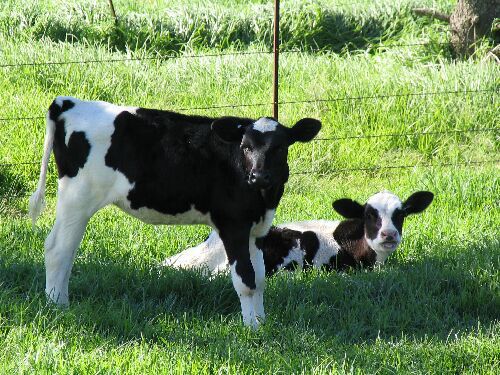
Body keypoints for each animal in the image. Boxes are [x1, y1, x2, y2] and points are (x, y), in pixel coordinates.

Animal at [29, 97, 320, 328]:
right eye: (246, 147)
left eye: (279, 147)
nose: (259, 176)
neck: (262, 197)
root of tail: (68, 103)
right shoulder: (232, 225)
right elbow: (245, 280)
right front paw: (253, 329)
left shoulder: (256, 230)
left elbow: (258, 278)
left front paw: (261, 321)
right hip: (77, 198)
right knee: (58, 249)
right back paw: (58, 306)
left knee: (66, 251)